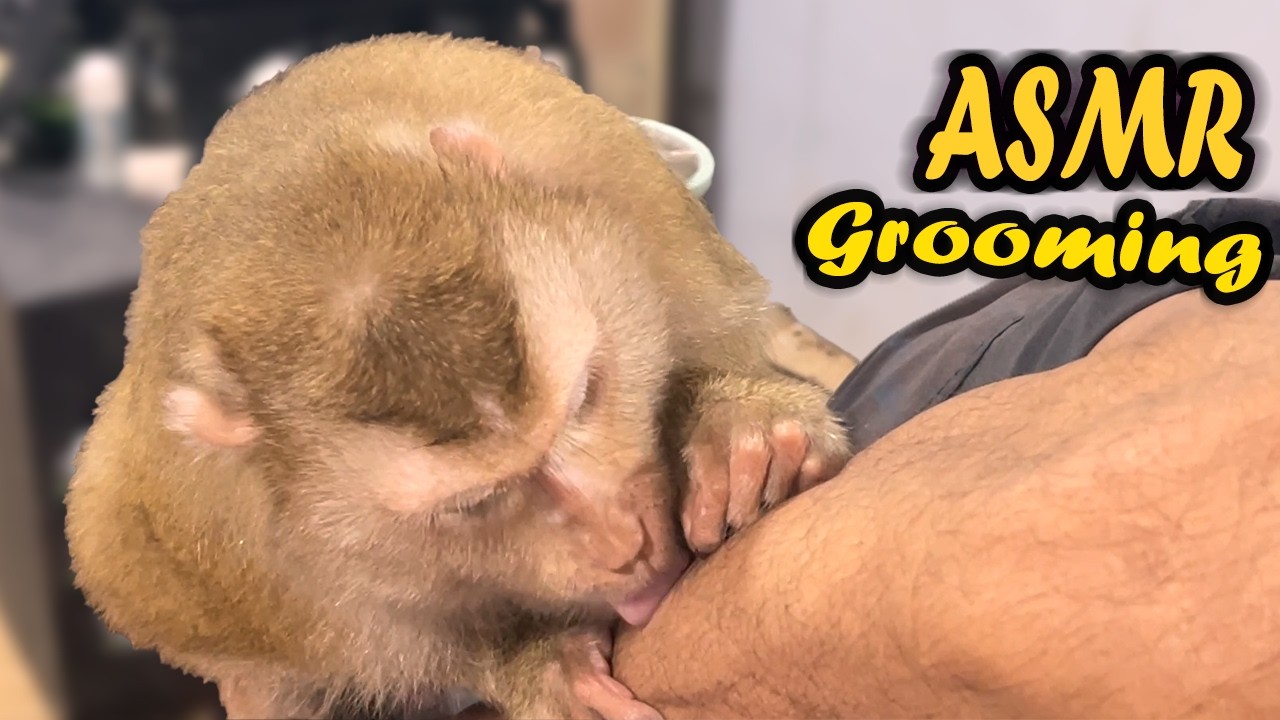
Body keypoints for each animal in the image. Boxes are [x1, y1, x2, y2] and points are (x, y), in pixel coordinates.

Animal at [64, 33, 852, 720]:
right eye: (478, 503)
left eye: (586, 400)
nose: (624, 543)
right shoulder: (207, 544)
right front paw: (528, 658)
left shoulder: (631, 193)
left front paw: (734, 425)